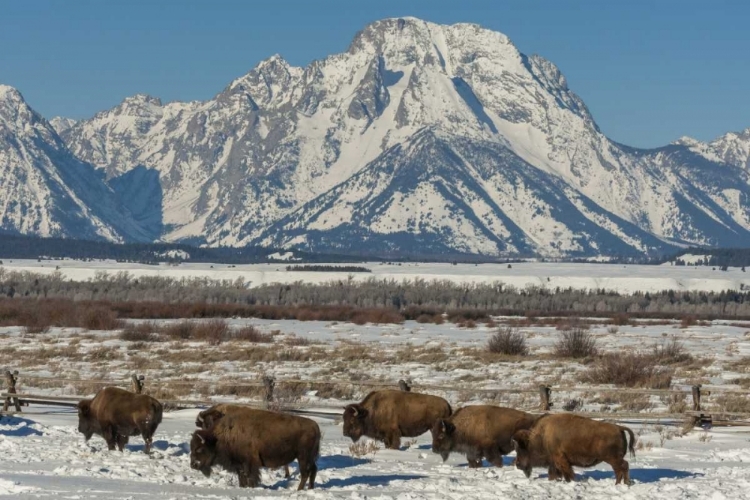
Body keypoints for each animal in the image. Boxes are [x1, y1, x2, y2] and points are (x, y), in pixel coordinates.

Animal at [191, 406, 320, 488]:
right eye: (192, 448)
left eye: (199, 449)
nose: (193, 465)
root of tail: (315, 426)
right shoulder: (239, 464)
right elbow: (241, 477)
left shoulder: (250, 463)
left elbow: (250, 477)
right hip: (310, 458)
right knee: (313, 470)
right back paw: (310, 488)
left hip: (303, 457)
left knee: (305, 473)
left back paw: (299, 490)